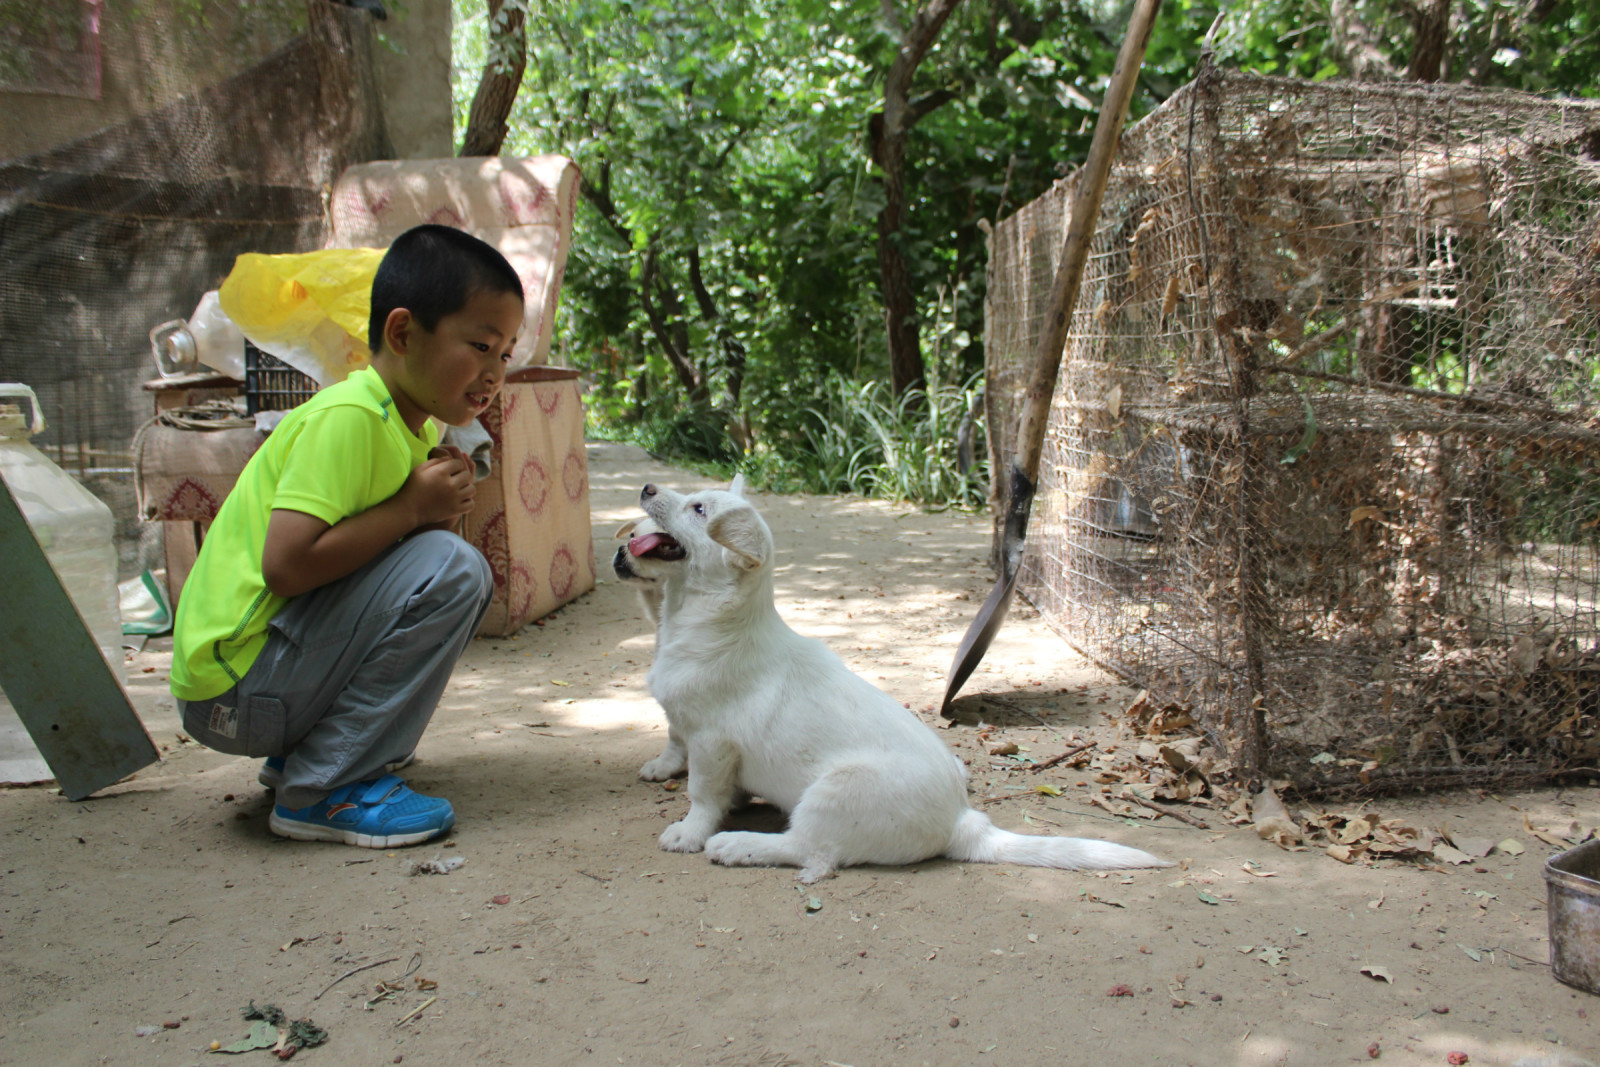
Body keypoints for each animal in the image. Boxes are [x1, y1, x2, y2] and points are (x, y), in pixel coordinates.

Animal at [608, 476, 1164, 883]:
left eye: (699, 510)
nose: (648, 489)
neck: (705, 622)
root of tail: (965, 823)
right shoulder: (690, 731)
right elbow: (681, 751)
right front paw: (670, 774)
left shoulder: (712, 743)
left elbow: (702, 796)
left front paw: (690, 834)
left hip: (835, 791)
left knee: (810, 851)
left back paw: (737, 845)